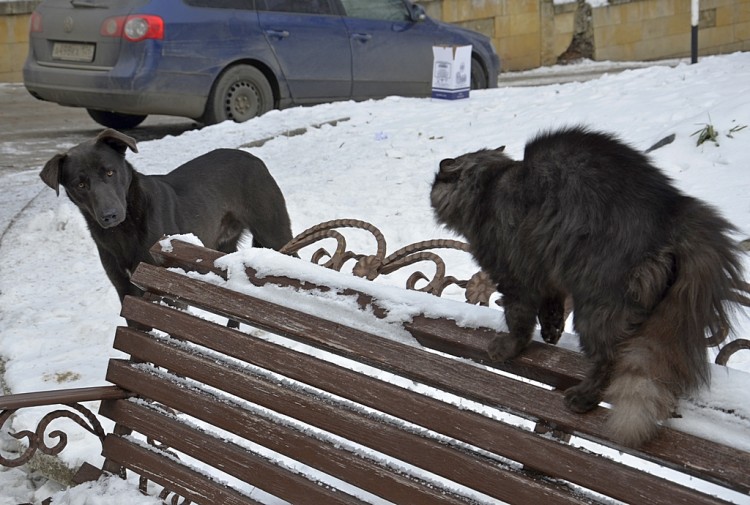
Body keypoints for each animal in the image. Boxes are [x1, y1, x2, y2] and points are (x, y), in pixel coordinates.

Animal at [40, 130, 294, 302]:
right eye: (80, 184)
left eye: (110, 172)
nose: (110, 215)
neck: (125, 230)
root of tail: (254, 159)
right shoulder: (126, 290)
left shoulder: (167, 287)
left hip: (275, 234)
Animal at [432, 125, 748, 444]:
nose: (431, 188)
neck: (491, 184)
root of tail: (673, 209)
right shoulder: (547, 270)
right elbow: (551, 306)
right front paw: (551, 331)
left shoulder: (514, 275)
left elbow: (519, 321)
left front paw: (509, 347)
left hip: (595, 305)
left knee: (610, 359)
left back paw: (583, 398)